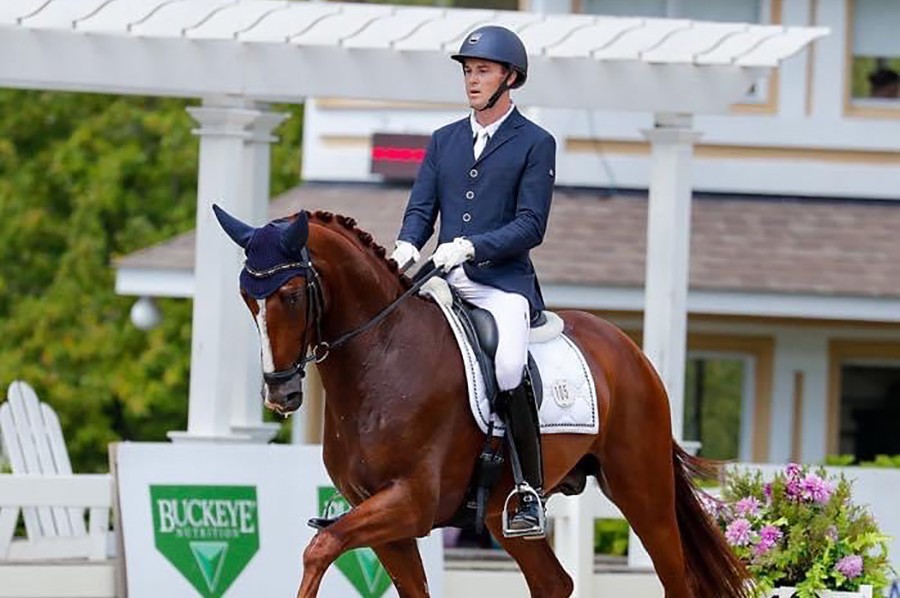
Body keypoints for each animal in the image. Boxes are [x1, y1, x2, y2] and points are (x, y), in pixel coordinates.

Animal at [214, 207, 748, 598]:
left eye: (290, 294)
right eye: (246, 296)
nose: (281, 394)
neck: (384, 358)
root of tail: (629, 350)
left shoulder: (410, 503)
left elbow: (320, 546)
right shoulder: (385, 520)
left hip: (642, 491)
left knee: (675, 579)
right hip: (503, 512)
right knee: (554, 582)